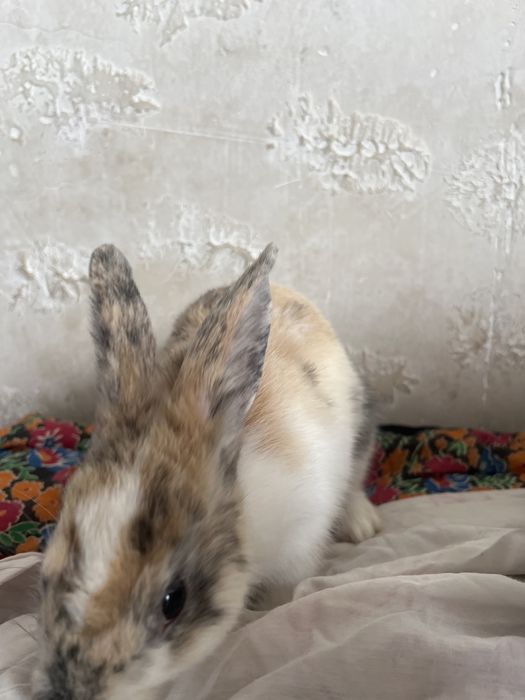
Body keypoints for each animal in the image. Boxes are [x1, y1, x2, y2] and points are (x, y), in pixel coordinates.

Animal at [32, 243, 380, 700]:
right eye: (46, 576)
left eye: (173, 601)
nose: (71, 690)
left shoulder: (297, 550)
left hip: (362, 428)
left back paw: (361, 525)